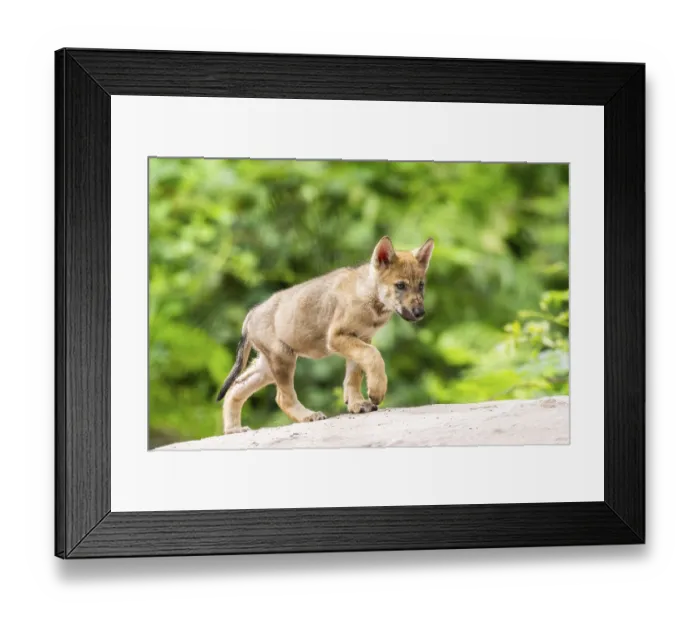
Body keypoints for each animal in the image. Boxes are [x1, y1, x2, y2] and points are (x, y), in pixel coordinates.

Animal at [215, 235, 435, 434]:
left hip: (267, 368)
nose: (420, 313)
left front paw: (356, 403)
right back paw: (308, 416)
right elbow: (373, 356)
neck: (370, 297)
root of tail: (251, 314)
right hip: (282, 360)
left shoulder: (359, 338)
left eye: (421, 285)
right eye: (400, 285)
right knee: (282, 398)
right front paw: (376, 391)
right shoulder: (338, 337)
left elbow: (354, 375)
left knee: (235, 389)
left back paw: (234, 429)